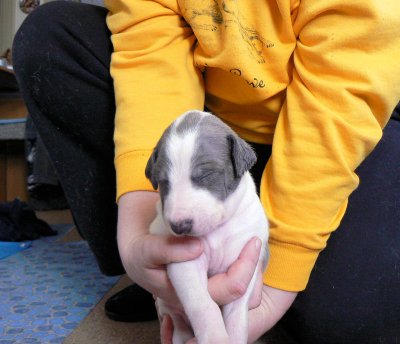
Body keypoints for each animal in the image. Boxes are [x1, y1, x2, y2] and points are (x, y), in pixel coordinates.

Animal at [145, 111, 268, 344]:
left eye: (206, 175)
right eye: (163, 182)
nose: (179, 226)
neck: (216, 230)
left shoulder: (245, 259)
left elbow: (237, 311)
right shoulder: (185, 262)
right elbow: (202, 304)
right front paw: (214, 337)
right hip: (167, 307)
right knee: (176, 319)